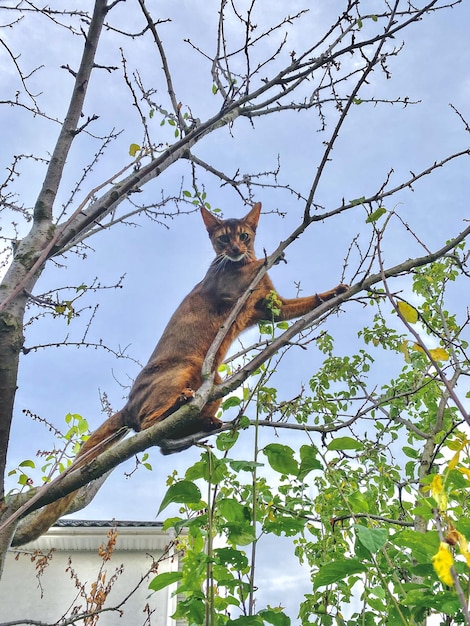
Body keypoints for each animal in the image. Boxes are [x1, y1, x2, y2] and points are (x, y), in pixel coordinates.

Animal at [11, 202, 348, 544]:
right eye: (223, 239)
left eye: (244, 235)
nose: (236, 249)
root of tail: (127, 406)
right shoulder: (230, 288)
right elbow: (250, 270)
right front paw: (270, 258)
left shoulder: (271, 308)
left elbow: (306, 303)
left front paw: (334, 292)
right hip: (185, 368)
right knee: (147, 424)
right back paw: (179, 405)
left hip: (214, 380)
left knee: (163, 444)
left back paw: (203, 423)